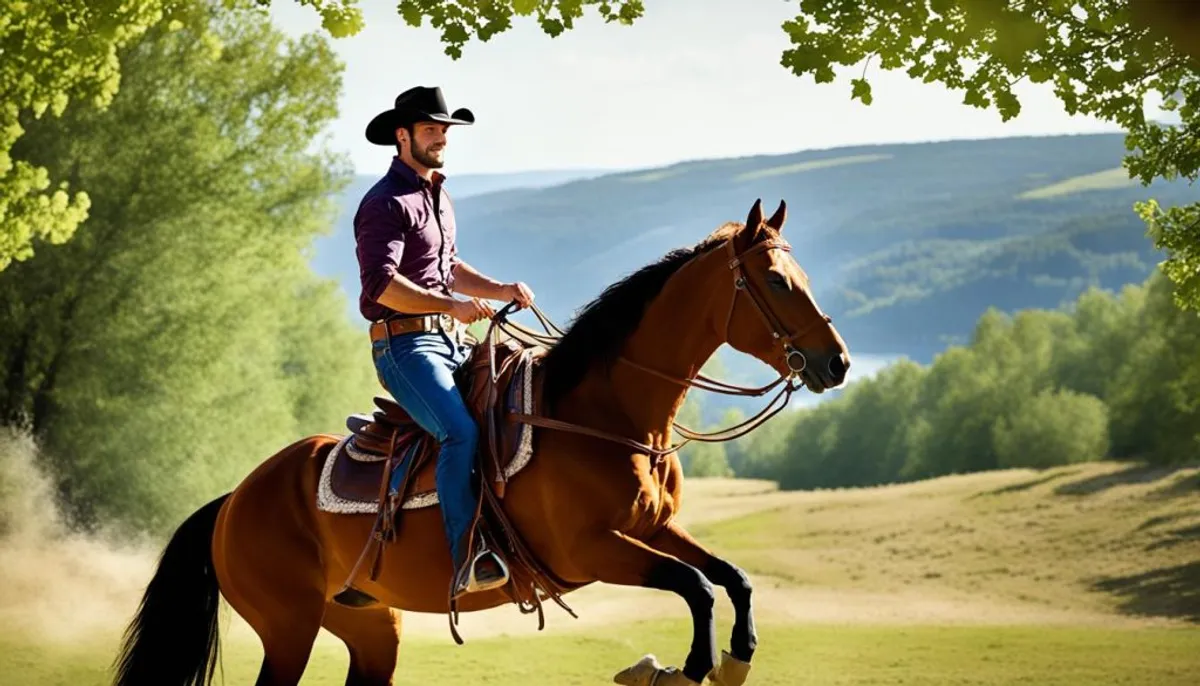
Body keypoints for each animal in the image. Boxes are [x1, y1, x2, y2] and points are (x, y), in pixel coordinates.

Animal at [110, 197, 844, 686]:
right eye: (777, 282)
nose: (836, 362)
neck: (606, 414)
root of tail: (233, 500)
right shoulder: (591, 550)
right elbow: (695, 586)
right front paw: (683, 666)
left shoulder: (651, 529)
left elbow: (731, 577)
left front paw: (735, 656)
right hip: (287, 627)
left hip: (369, 625)